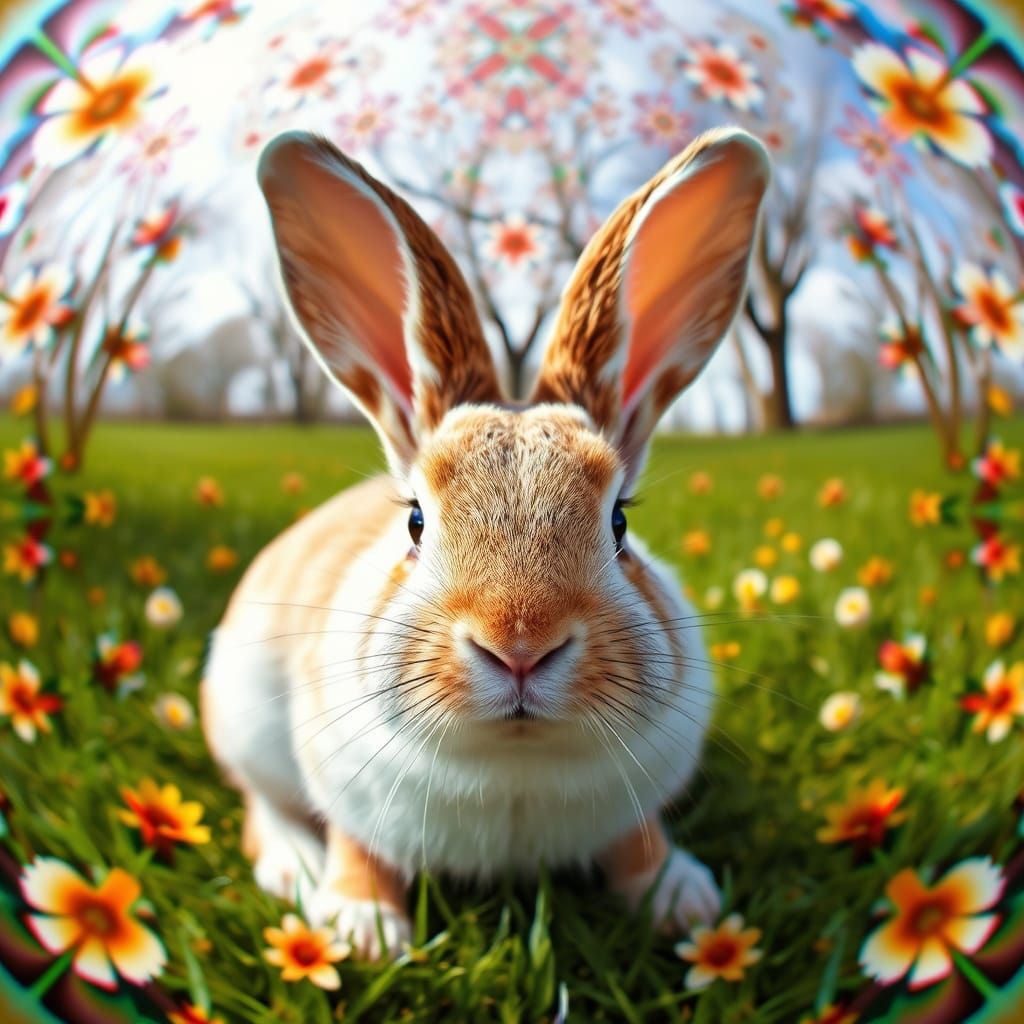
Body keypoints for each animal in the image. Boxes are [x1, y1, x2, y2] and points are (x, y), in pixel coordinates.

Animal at [201, 126, 769, 960]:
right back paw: (293, 867)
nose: (519, 644)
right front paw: (364, 930)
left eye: (620, 522)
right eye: (416, 520)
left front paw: (683, 901)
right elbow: (357, 847)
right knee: (258, 806)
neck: (514, 762)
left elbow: (639, 842)